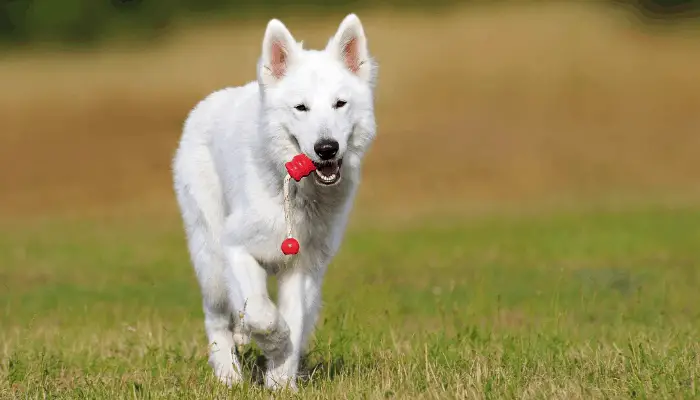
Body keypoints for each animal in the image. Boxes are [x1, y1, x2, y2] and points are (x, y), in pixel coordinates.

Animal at [171, 13, 378, 390]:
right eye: (301, 108)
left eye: (340, 104)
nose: (327, 148)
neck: (295, 192)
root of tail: (205, 105)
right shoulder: (236, 248)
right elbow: (262, 314)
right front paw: (274, 342)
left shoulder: (303, 267)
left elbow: (293, 319)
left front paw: (281, 381)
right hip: (210, 259)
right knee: (216, 318)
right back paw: (228, 375)